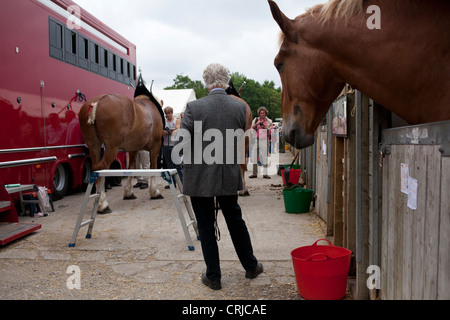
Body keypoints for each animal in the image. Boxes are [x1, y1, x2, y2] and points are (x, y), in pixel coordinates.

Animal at [79, 75, 165, 212]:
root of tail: (96, 103)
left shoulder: (133, 149)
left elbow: (131, 168)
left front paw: (128, 193)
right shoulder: (155, 147)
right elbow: (153, 167)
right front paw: (154, 192)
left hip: (94, 145)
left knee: (95, 168)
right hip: (111, 148)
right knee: (101, 168)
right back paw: (103, 204)